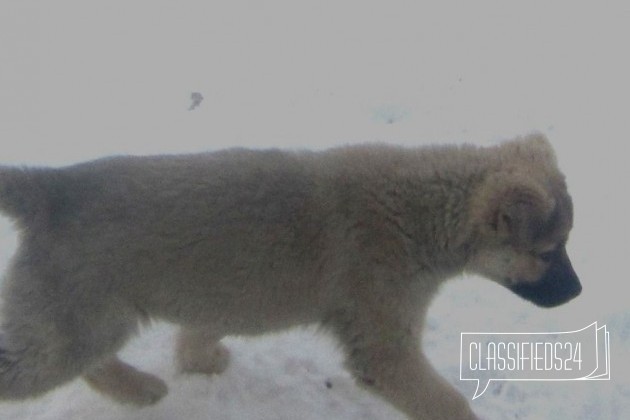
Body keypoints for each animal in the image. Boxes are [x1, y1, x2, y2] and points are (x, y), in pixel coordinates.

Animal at [0, 135, 584, 420]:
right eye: (548, 252)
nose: (579, 292)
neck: (421, 212)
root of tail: (48, 190)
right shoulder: (384, 346)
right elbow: (447, 405)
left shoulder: (227, 295)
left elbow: (201, 331)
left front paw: (200, 360)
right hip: (76, 324)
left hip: (86, 320)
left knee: (96, 364)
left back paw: (140, 389)